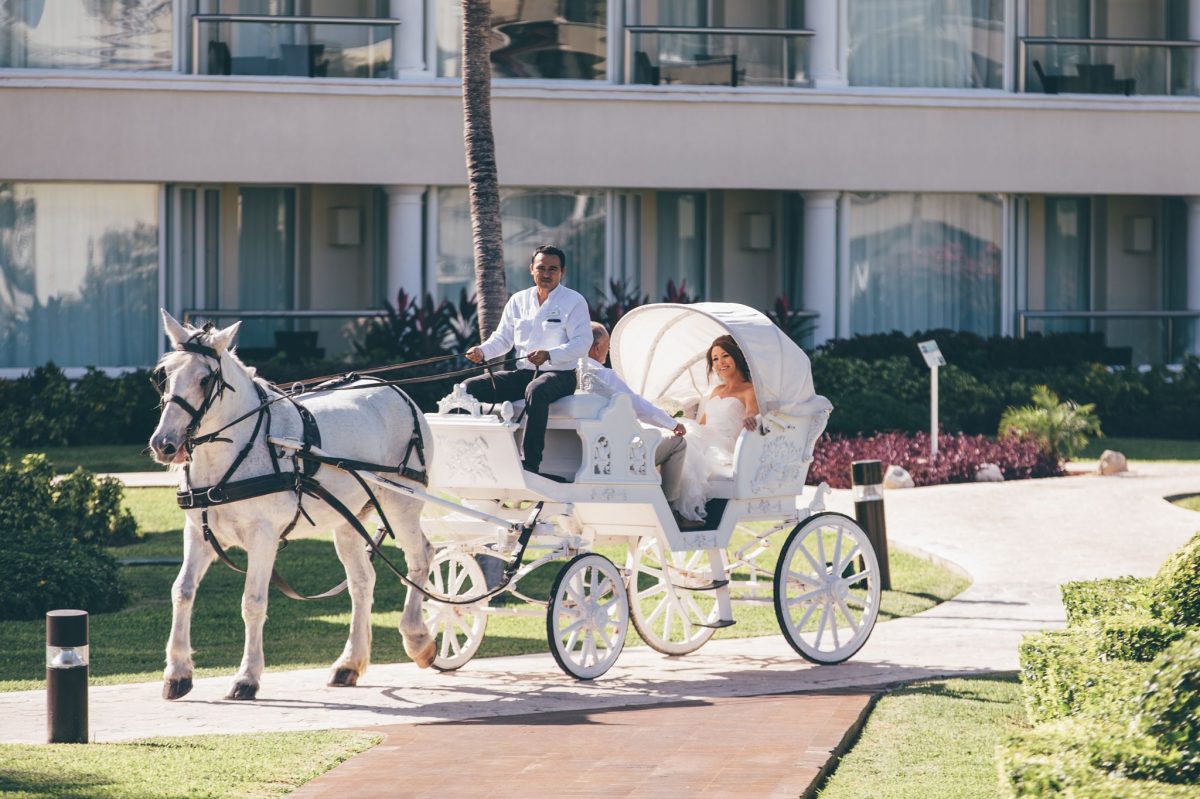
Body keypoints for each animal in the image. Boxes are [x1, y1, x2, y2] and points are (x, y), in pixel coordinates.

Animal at [150, 309, 439, 695]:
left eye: (205, 379)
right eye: (165, 375)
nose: (164, 444)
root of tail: (397, 391)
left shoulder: (263, 536)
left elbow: (253, 602)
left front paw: (247, 677)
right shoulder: (198, 533)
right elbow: (182, 591)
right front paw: (178, 672)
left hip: (401, 504)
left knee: (421, 557)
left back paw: (417, 638)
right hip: (347, 521)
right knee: (362, 582)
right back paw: (349, 663)